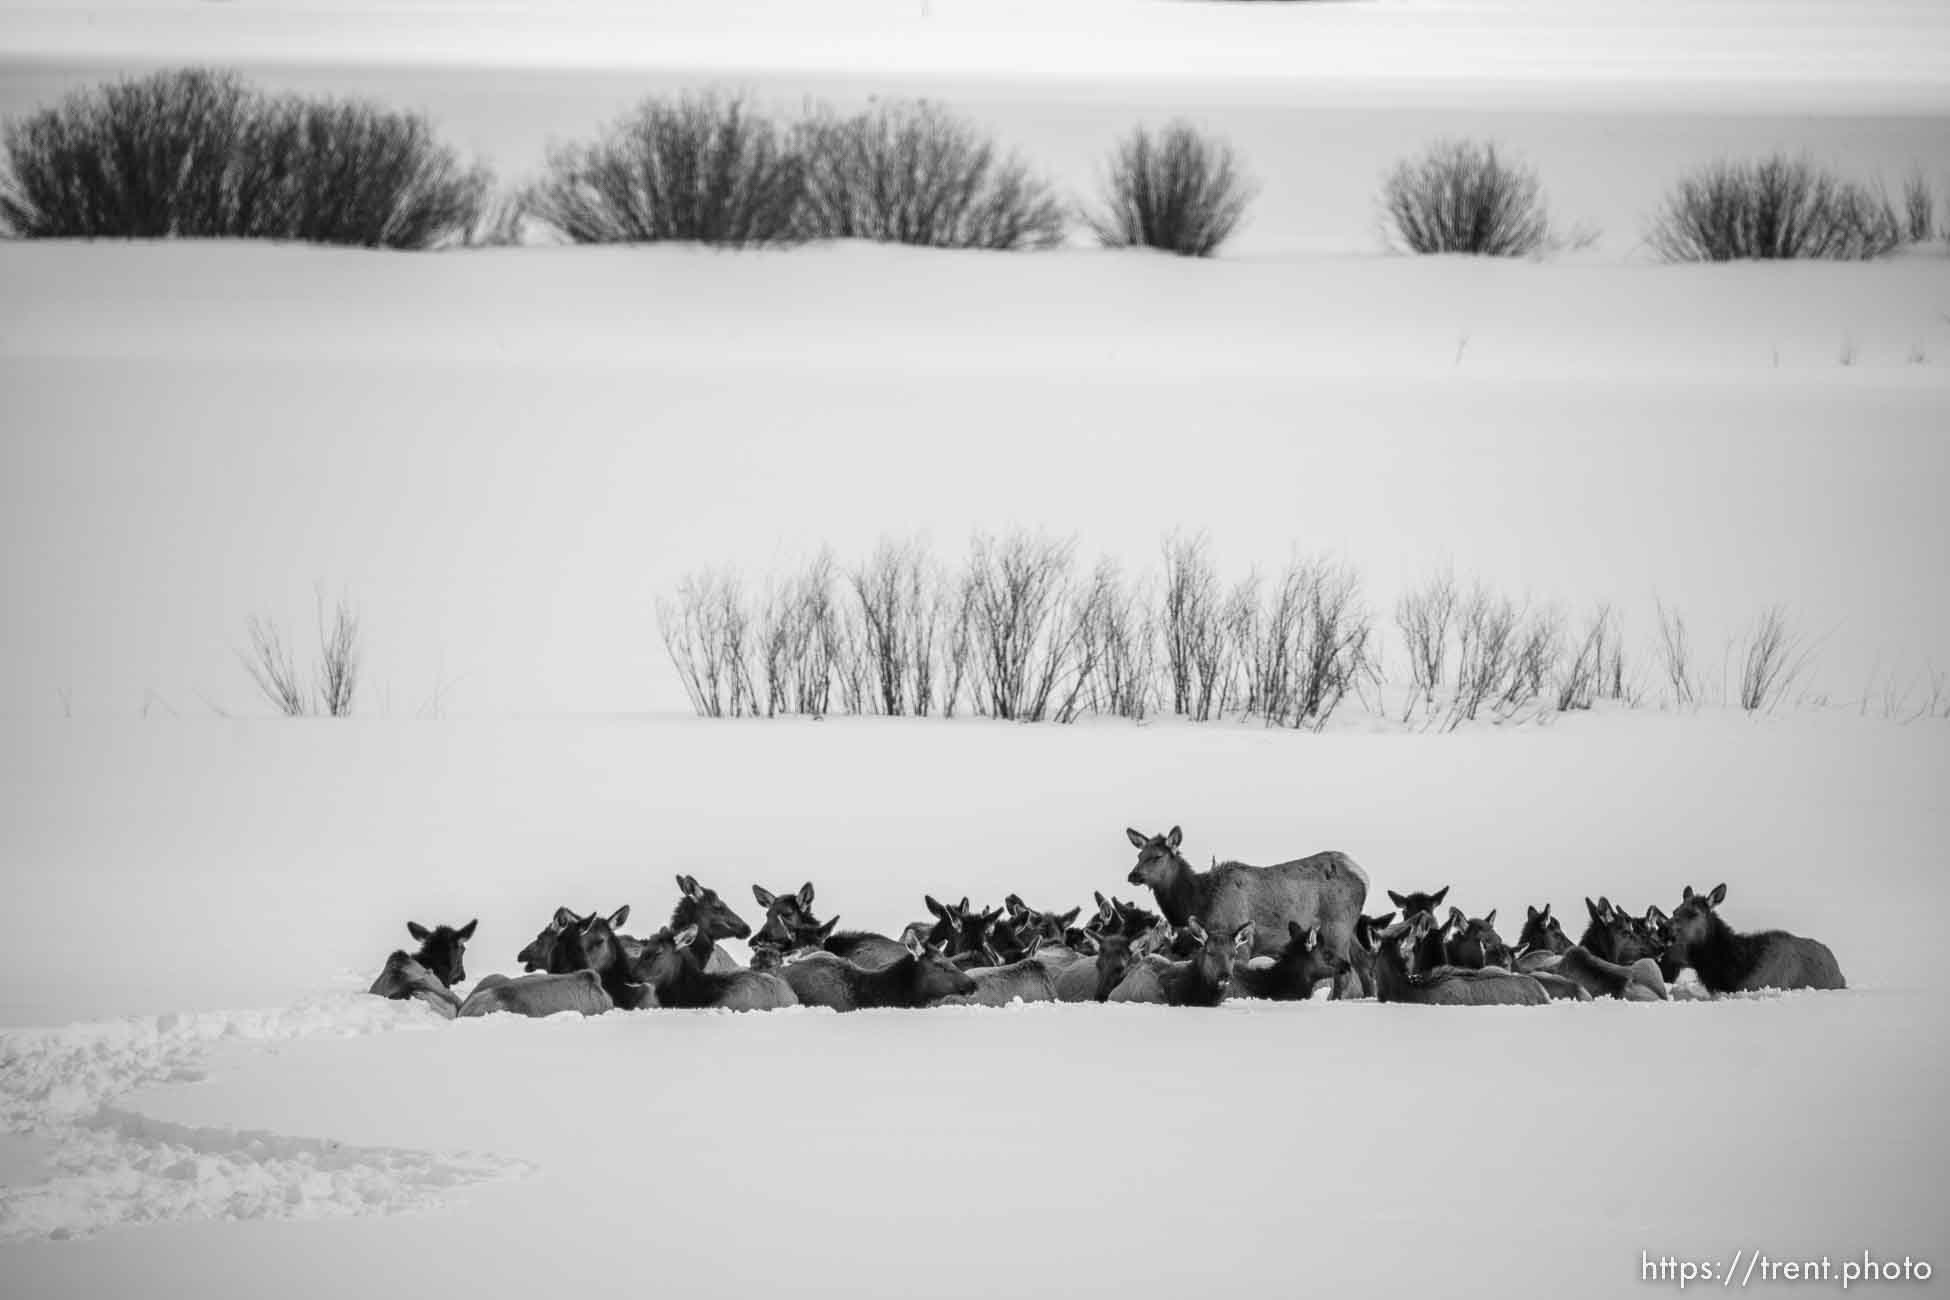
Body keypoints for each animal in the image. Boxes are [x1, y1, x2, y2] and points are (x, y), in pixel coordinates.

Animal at [1131, 830, 1372, 962]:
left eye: (1157, 856)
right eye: (1139, 855)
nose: (1132, 875)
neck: (1200, 901)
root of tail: (1362, 875)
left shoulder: (1243, 941)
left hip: (1336, 927)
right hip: (1350, 929)